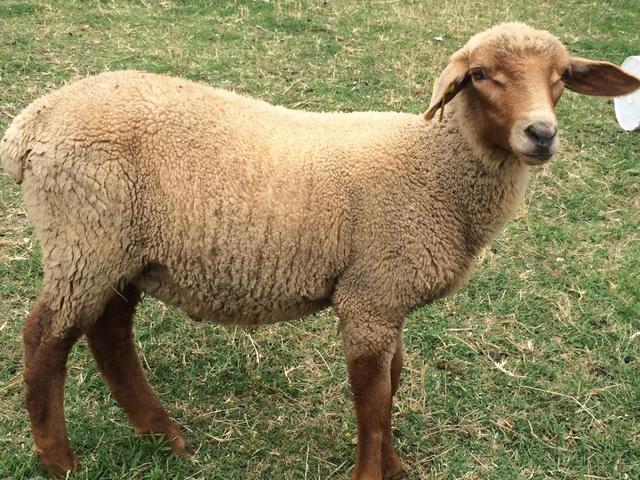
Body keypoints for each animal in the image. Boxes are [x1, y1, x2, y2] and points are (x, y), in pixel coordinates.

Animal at [1, 22, 639, 480]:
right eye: (481, 74)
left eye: (562, 76)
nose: (541, 134)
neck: (435, 169)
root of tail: (31, 126)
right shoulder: (370, 295)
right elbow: (371, 398)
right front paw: (371, 473)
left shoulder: (387, 296)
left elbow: (391, 386)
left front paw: (394, 468)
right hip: (86, 236)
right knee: (45, 339)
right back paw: (61, 462)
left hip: (118, 252)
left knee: (109, 334)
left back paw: (166, 437)